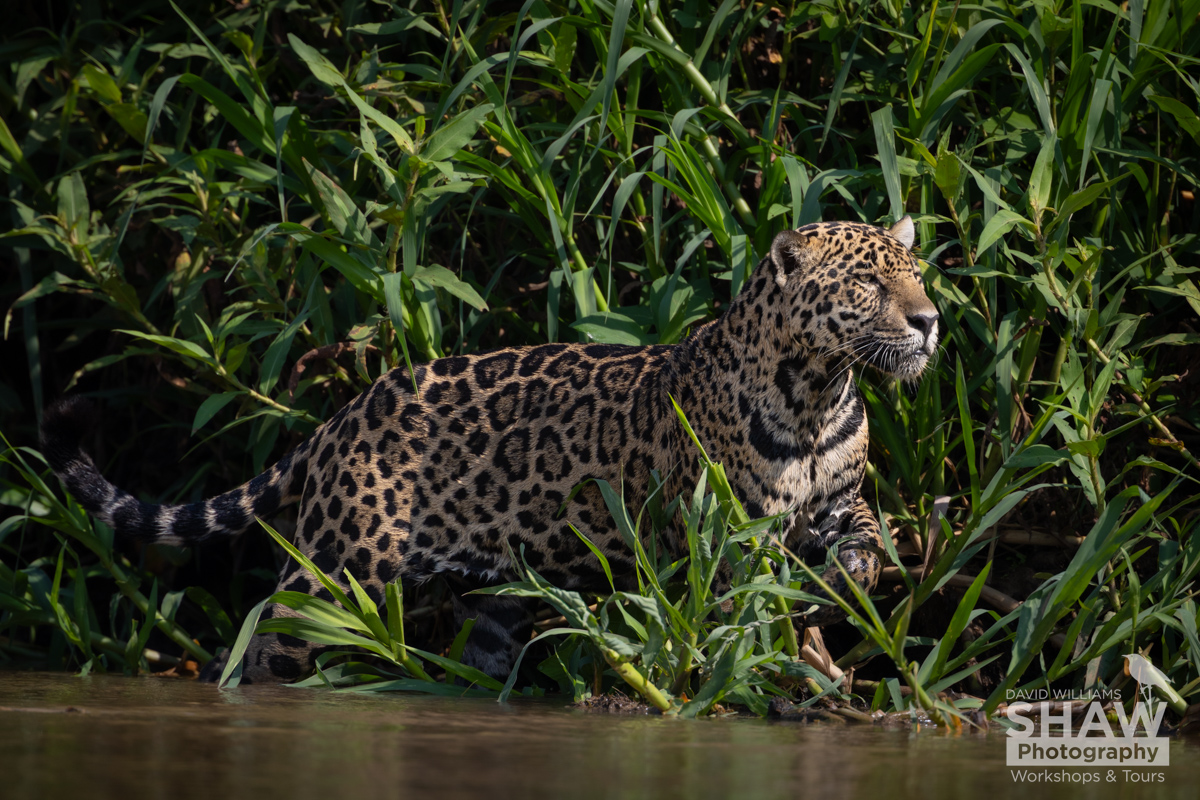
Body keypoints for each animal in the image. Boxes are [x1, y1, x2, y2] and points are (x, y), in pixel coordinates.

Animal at [41, 216, 939, 684]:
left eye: (919, 272)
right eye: (867, 284)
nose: (930, 320)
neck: (817, 389)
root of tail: (342, 416)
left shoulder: (838, 498)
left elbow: (868, 533)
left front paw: (853, 581)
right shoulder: (724, 535)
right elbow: (738, 615)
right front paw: (768, 672)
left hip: (492, 598)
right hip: (340, 565)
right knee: (273, 635)